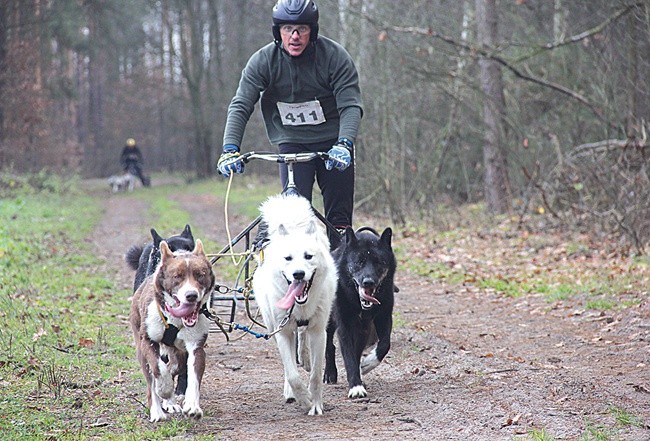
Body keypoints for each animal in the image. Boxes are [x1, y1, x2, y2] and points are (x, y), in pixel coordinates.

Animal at [129, 239, 215, 422]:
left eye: (200, 274)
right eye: (177, 276)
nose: (191, 295)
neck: (175, 319)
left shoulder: (196, 347)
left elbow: (193, 376)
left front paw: (192, 405)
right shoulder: (148, 341)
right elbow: (158, 369)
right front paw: (165, 388)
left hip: (178, 354)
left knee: (175, 366)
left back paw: (170, 402)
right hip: (141, 349)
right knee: (152, 380)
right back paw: (158, 411)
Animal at [252, 194, 336, 414]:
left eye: (308, 256)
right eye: (288, 258)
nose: (298, 274)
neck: (300, 307)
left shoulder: (319, 332)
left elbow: (315, 375)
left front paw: (316, 404)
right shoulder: (282, 332)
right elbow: (292, 375)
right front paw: (304, 399)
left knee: (302, 337)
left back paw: (304, 357)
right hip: (273, 328)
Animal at [322, 227, 394, 398]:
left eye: (379, 262)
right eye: (359, 262)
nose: (368, 282)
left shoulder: (381, 318)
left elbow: (384, 344)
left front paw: (366, 365)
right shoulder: (345, 325)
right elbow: (349, 356)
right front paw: (356, 386)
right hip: (329, 320)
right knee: (329, 344)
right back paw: (329, 373)